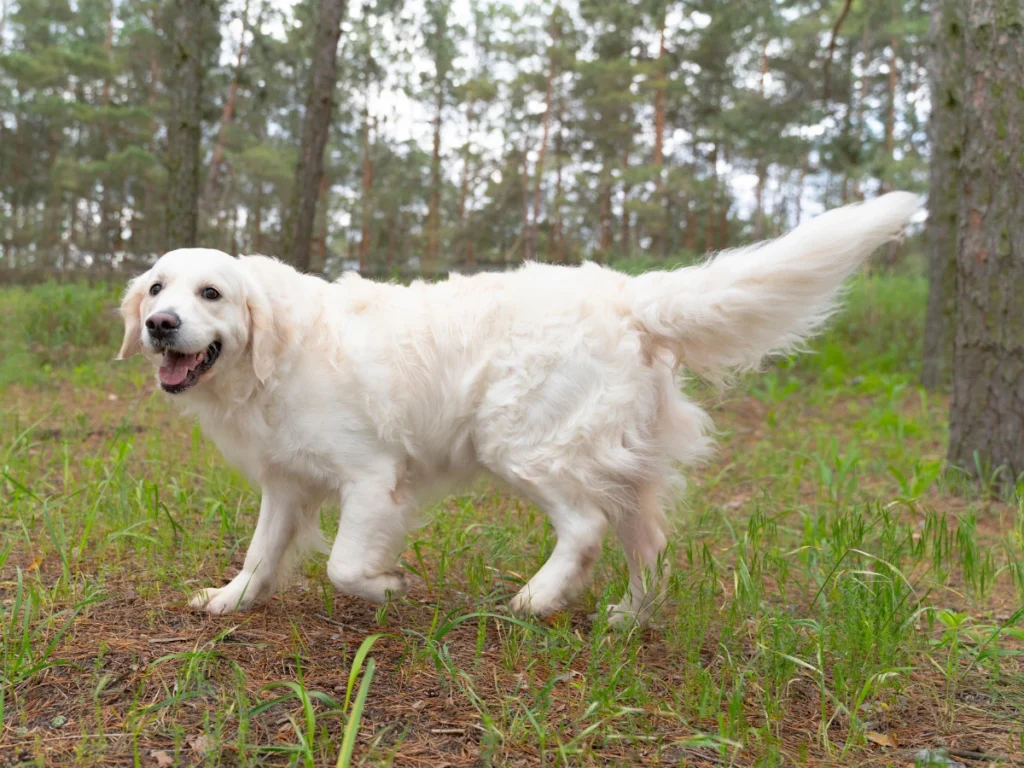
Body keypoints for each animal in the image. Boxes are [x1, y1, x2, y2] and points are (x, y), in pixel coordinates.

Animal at [117, 192, 921, 626]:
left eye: (212, 293)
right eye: (158, 287)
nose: (160, 325)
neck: (277, 352)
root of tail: (628, 296)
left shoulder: (372, 478)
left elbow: (345, 565)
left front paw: (387, 586)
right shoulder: (286, 485)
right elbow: (260, 554)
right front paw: (228, 601)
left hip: (523, 444)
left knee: (586, 527)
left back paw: (538, 598)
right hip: (619, 464)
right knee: (648, 543)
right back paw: (627, 617)